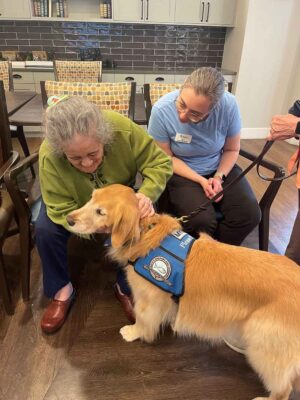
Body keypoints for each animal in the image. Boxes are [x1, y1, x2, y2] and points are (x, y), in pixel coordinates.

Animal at [67, 184, 300, 400]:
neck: (144, 233)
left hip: (265, 345)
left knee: (283, 388)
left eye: (100, 212)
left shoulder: (148, 301)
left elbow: (143, 320)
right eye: (91, 198)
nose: (68, 219)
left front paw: (133, 332)